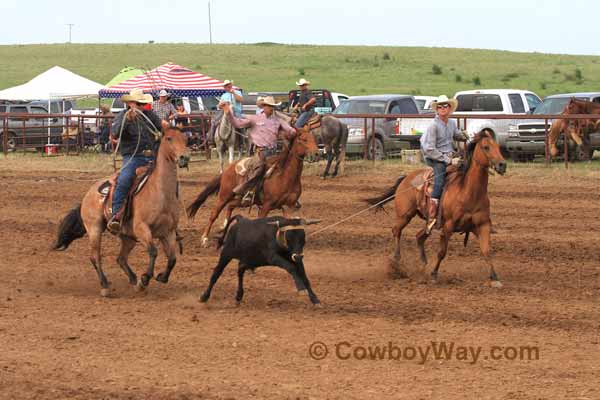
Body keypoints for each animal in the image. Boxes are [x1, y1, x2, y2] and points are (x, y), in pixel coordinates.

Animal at [53, 128, 191, 296]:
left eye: (185, 139)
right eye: (169, 138)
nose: (184, 157)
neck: (160, 191)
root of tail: (88, 194)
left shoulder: (168, 232)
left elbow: (172, 259)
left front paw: (160, 277)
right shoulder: (141, 228)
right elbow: (153, 251)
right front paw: (145, 279)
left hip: (128, 237)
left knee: (121, 258)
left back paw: (133, 279)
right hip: (95, 229)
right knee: (95, 257)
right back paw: (105, 285)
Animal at [188, 126, 318, 247]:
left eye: (313, 138)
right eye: (303, 139)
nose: (317, 153)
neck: (285, 176)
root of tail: (227, 170)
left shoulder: (288, 206)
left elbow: (288, 226)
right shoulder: (266, 206)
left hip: (242, 200)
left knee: (230, 206)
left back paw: (223, 227)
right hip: (224, 195)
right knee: (214, 214)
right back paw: (204, 239)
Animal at [366, 130, 506, 286]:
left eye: (498, 147)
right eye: (486, 147)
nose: (502, 165)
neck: (469, 192)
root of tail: (406, 178)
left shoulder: (482, 225)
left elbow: (486, 251)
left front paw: (495, 277)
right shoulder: (448, 226)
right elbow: (442, 252)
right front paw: (434, 274)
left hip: (429, 223)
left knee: (419, 236)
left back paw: (423, 265)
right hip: (405, 215)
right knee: (396, 231)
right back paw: (396, 261)